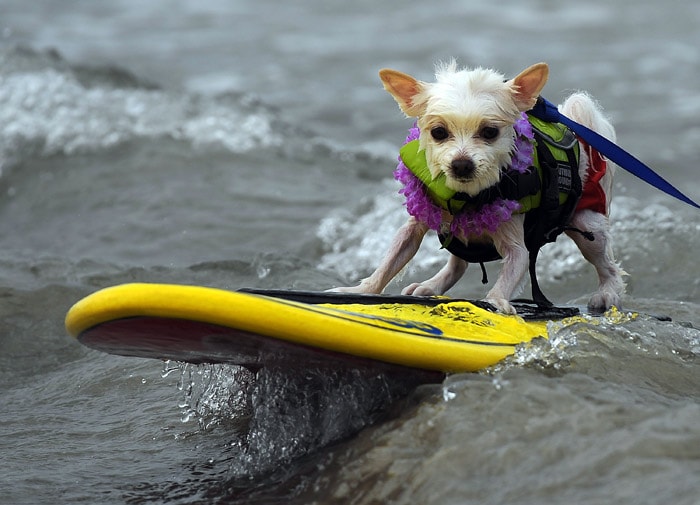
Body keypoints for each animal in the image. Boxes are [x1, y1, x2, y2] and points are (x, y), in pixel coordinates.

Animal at [332, 61, 624, 314]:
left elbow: (513, 266)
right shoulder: (416, 222)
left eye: (489, 132)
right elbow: (391, 259)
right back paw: (431, 286)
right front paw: (360, 290)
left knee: (606, 264)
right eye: (438, 132)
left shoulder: (516, 242)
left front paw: (495, 302)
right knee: (458, 263)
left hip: (587, 224)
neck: (467, 197)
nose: (461, 164)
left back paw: (607, 292)